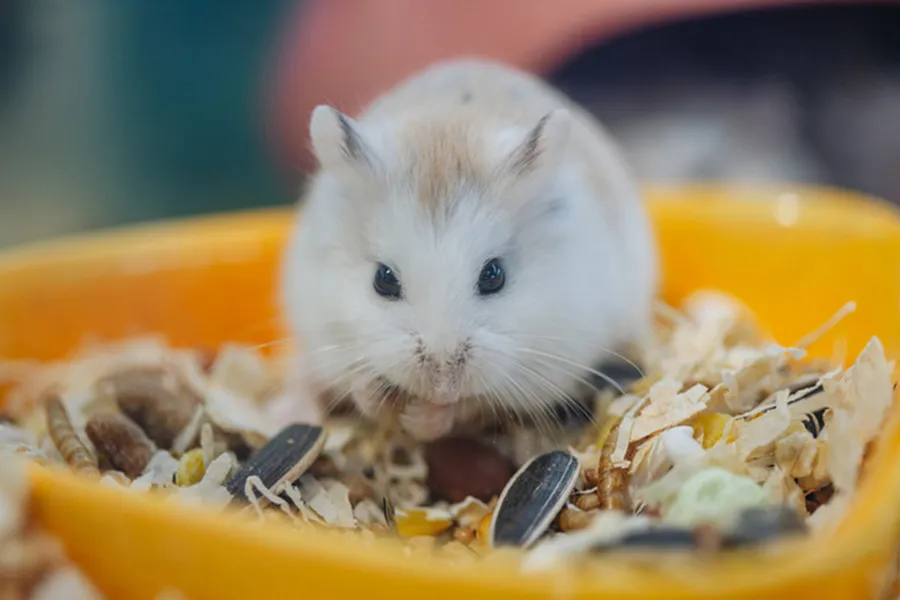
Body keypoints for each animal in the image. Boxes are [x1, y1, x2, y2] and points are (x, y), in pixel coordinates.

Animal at [277, 59, 658, 441]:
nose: (441, 385)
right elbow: (359, 385)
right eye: (383, 280)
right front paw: (381, 398)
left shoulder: (548, 360)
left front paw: (419, 418)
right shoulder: (325, 327)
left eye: (494, 275)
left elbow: (473, 405)